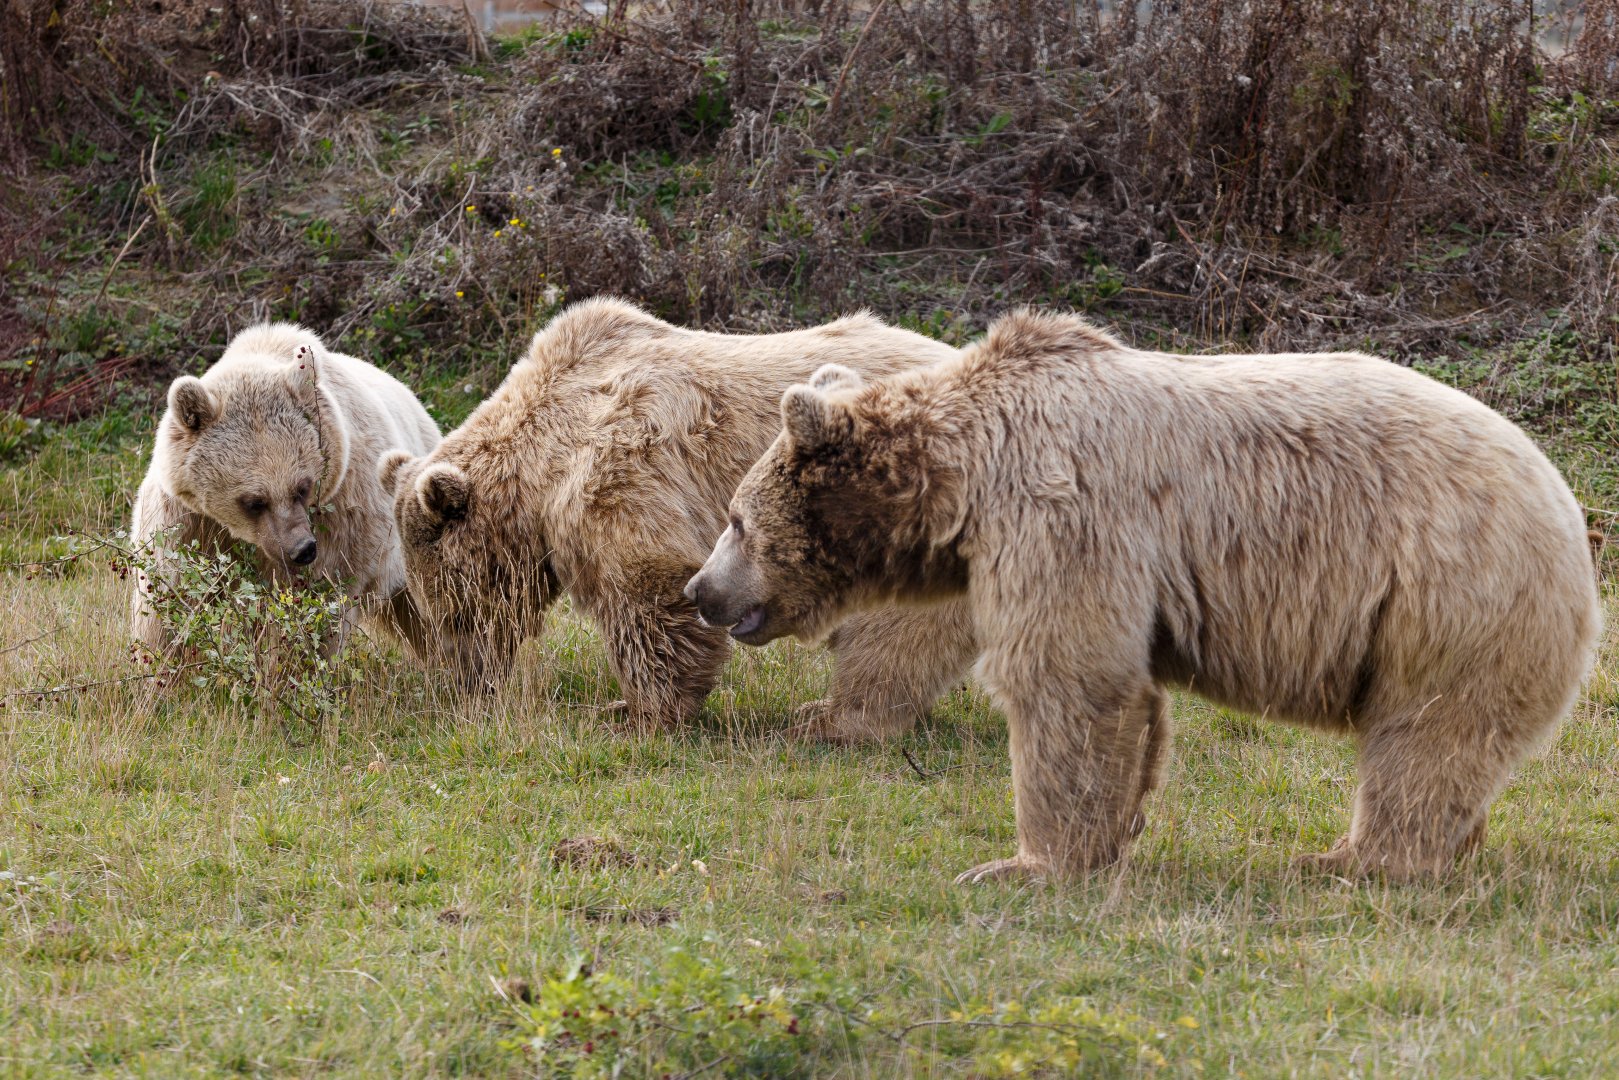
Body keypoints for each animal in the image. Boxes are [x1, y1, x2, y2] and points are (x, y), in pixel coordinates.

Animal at [131, 322, 442, 656]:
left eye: (303, 487)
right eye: (254, 501)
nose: (302, 549)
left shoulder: (343, 515)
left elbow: (315, 605)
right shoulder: (190, 520)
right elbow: (172, 595)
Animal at [380, 296, 979, 737]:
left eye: (453, 613)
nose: (468, 683)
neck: (542, 468)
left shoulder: (623, 466)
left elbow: (647, 591)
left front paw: (636, 712)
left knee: (891, 630)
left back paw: (833, 718)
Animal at [685, 309, 1602, 883]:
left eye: (736, 517)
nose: (700, 589)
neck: (964, 476)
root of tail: (1568, 513)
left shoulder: (1062, 514)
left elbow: (1065, 676)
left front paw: (1021, 863)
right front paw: (1107, 835)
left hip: (1451, 599)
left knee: (1424, 742)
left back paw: (1353, 859)